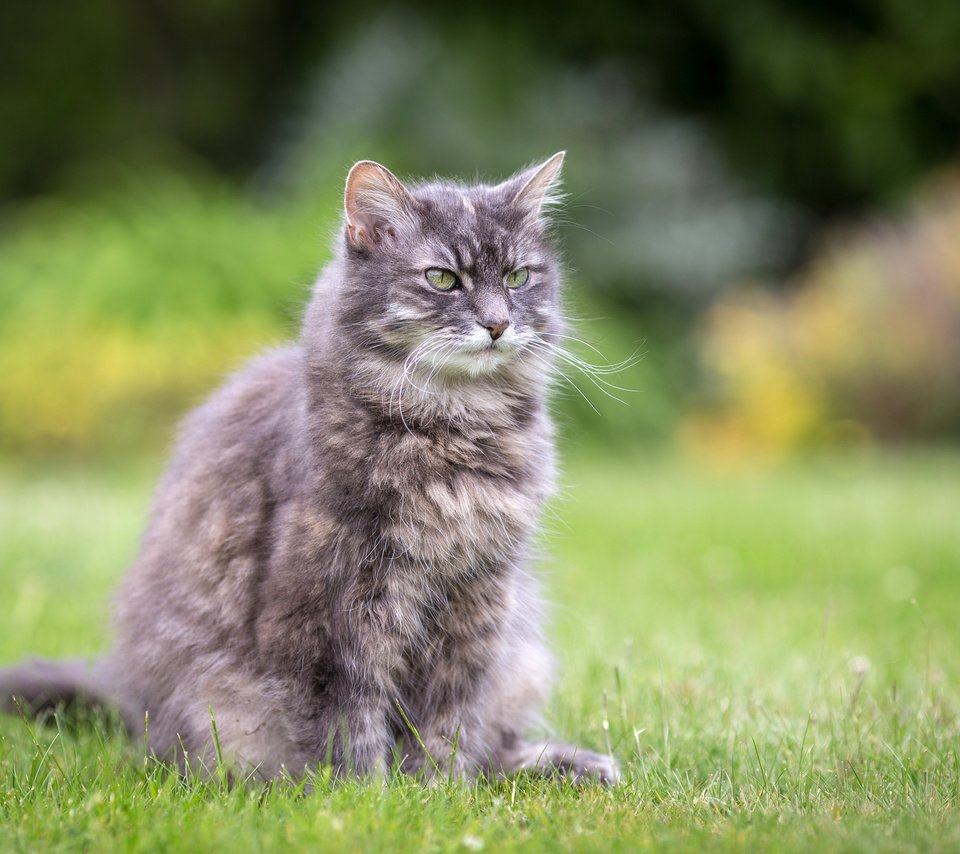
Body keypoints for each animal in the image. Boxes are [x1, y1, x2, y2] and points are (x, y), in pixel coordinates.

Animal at [0, 155, 624, 788]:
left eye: (519, 278)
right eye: (443, 279)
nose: (497, 324)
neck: (453, 430)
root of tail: (129, 704)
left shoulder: (478, 599)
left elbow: (449, 719)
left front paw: (438, 788)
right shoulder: (334, 609)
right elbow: (354, 716)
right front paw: (373, 795)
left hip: (522, 658)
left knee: (498, 745)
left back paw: (572, 765)